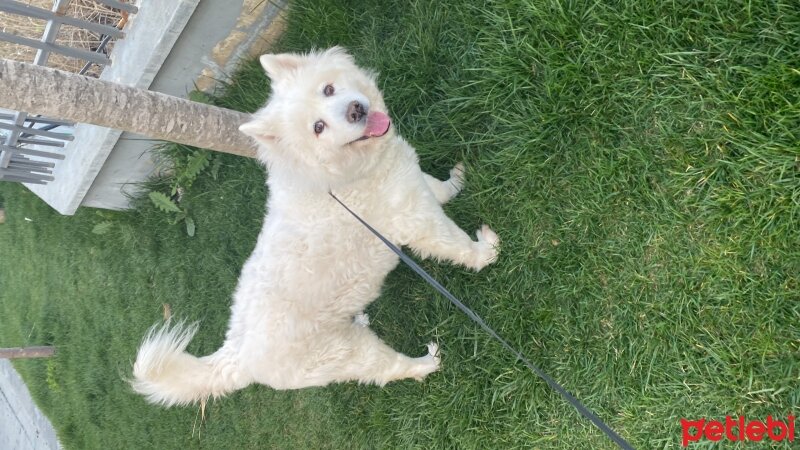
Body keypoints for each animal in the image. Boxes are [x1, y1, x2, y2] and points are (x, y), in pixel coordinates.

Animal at [134, 47, 500, 406]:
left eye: (328, 89)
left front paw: (456, 182)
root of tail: (236, 358)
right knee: (390, 370)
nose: (355, 110)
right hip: (349, 353)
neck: (335, 177)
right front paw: (487, 251)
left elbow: (438, 189)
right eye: (319, 128)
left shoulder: (410, 185)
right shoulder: (415, 220)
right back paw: (427, 362)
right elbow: (457, 244)